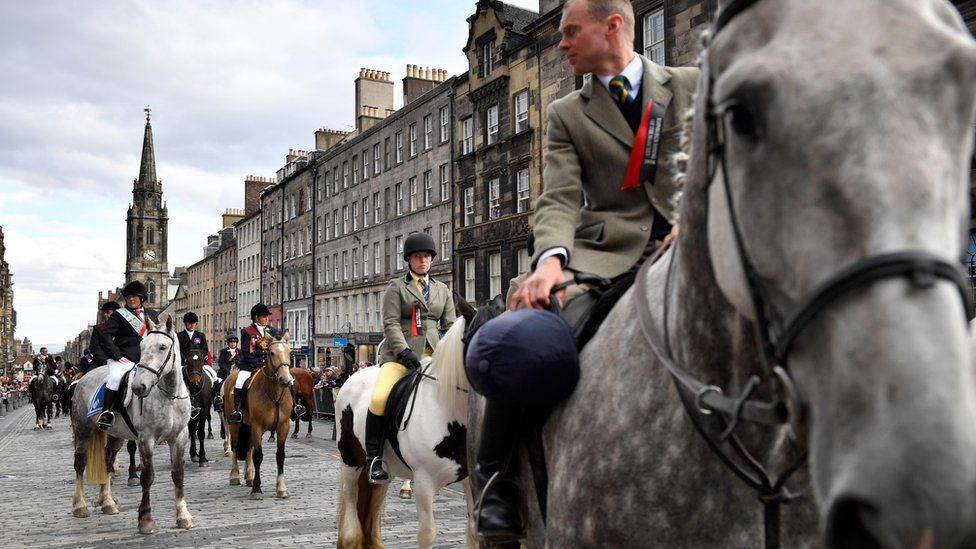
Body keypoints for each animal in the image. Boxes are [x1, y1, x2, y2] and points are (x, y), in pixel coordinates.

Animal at [69, 314, 196, 532]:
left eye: (163, 347)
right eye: (142, 346)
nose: (139, 387)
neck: (169, 396)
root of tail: (84, 378)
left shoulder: (179, 437)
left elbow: (178, 474)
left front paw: (183, 515)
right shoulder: (146, 438)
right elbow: (147, 476)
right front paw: (145, 518)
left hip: (115, 435)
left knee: (107, 460)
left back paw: (108, 503)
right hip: (83, 429)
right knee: (80, 463)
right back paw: (80, 506)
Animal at [222, 330, 294, 500]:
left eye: (289, 352)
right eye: (272, 353)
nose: (286, 380)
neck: (274, 394)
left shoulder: (283, 427)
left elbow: (280, 456)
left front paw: (281, 488)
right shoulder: (257, 427)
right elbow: (258, 456)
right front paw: (256, 489)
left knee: (248, 448)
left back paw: (249, 476)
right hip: (235, 424)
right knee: (236, 447)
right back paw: (235, 476)